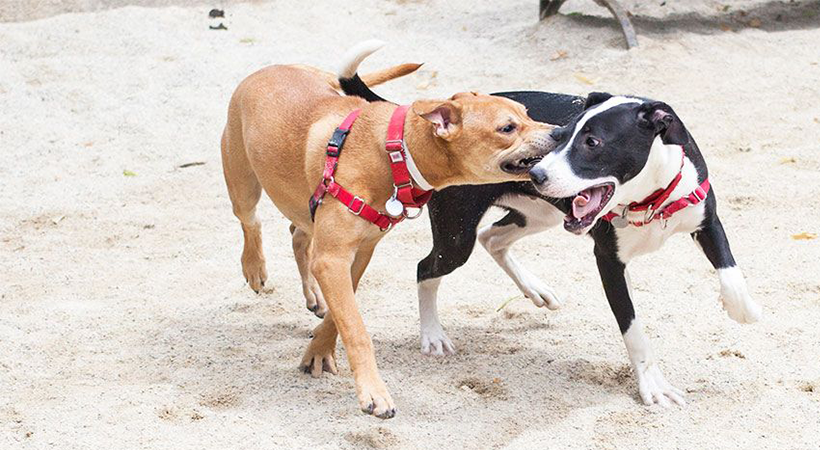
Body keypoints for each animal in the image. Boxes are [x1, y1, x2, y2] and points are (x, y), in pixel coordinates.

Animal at [219, 42, 556, 418]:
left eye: (527, 113)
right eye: (507, 128)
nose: (560, 132)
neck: (393, 152)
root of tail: (271, 68)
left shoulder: (356, 255)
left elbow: (339, 316)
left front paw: (319, 351)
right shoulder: (333, 259)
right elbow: (355, 328)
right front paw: (373, 392)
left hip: (305, 208)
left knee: (298, 234)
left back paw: (313, 294)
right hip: (243, 184)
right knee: (251, 221)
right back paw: (255, 268)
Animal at [336, 73, 760, 404]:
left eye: (591, 142)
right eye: (563, 135)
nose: (537, 173)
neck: (646, 199)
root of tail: (431, 126)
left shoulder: (707, 219)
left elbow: (730, 270)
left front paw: (743, 309)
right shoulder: (608, 261)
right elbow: (635, 331)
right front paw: (653, 385)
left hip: (540, 214)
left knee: (493, 238)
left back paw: (536, 290)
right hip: (457, 238)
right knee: (428, 268)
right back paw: (433, 335)